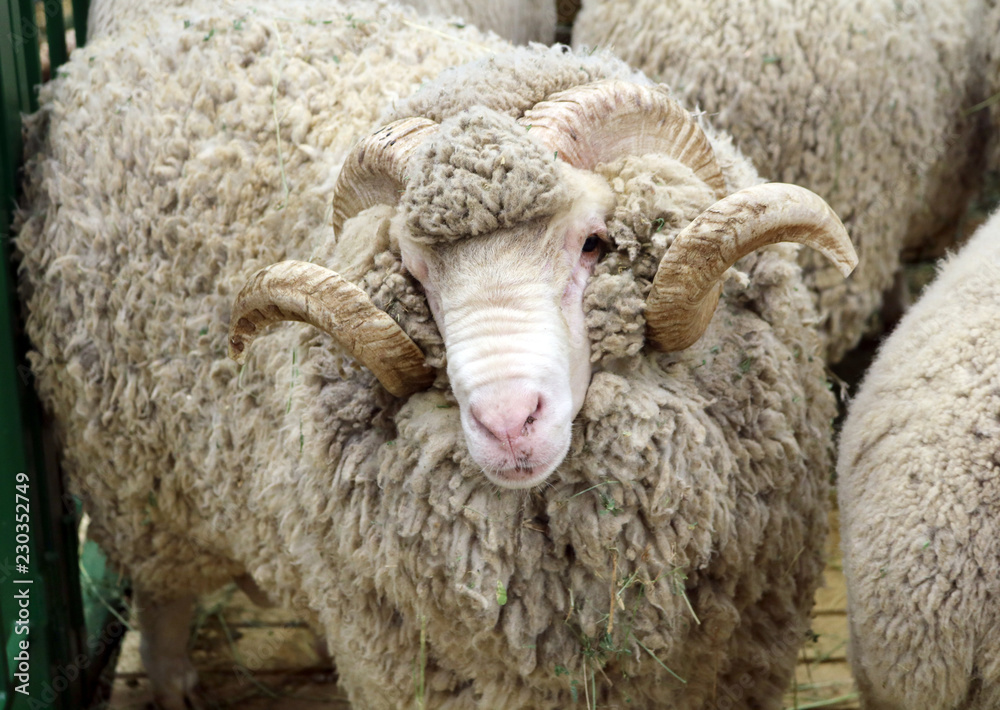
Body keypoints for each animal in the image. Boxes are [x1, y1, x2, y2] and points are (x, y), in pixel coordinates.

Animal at [14, 1, 858, 707]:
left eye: (595, 243)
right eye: (416, 274)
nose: (509, 423)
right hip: (139, 475)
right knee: (161, 594)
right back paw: (173, 682)